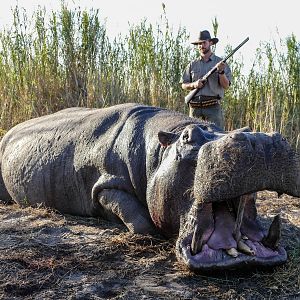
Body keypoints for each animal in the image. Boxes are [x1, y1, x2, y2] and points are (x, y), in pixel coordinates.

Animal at [0, 103, 300, 272]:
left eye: (245, 128)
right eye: (188, 137)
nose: (258, 139)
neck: (159, 150)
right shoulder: (106, 184)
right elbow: (139, 220)